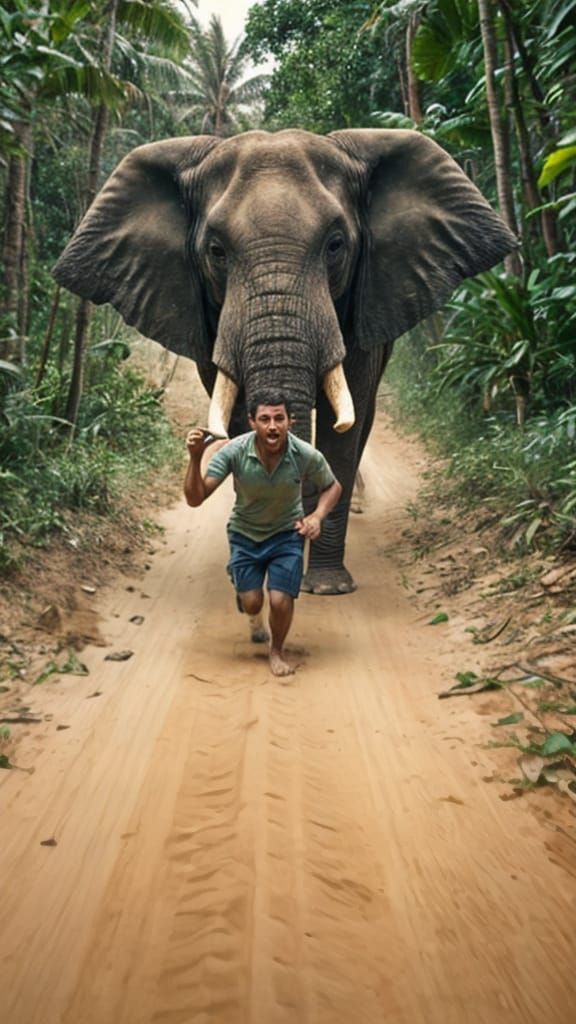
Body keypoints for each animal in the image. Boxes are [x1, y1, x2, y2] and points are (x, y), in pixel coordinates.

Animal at [54, 128, 517, 594]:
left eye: (335, 245)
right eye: (216, 251)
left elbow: (342, 425)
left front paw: (327, 586)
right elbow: (238, 413)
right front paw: (255, 562)